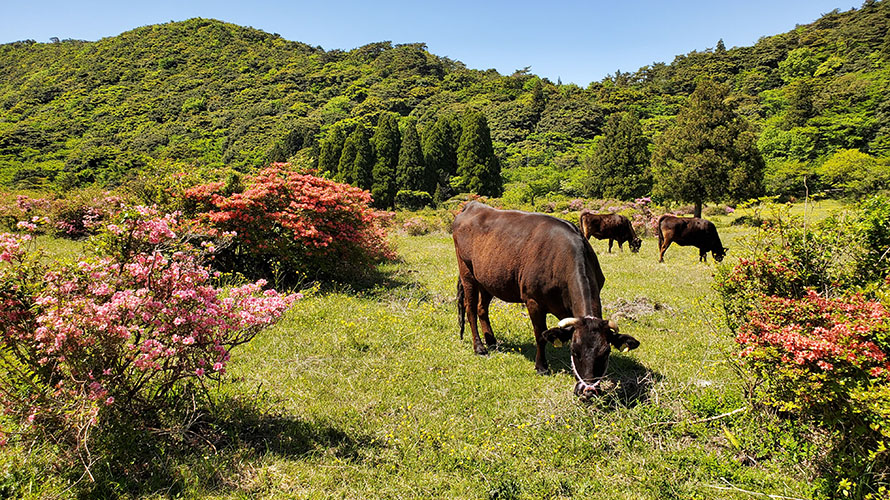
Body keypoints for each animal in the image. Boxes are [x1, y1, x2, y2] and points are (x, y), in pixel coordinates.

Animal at [450, 201, 640, 396]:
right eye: (574, 351)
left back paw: (492, 341)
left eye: (606, 353)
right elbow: (540, 335)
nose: (588, 391)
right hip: (467, 272)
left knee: (482, 309)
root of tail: (472, 205)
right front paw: (541, 367)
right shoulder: (533, 301)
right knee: (471, 310)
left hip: (487, 278)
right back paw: (479, 347)